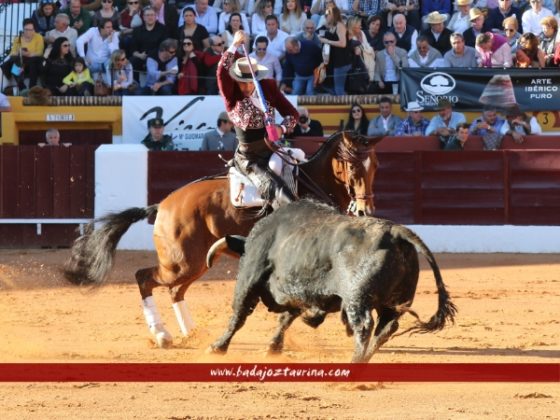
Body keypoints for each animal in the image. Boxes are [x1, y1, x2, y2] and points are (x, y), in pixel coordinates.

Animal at [64, 132, 380, 348]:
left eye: (375, 165)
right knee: (144, 278)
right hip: (180, 264)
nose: (364, 210)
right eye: (353, 167)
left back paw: (190, 332)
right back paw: (162, 334)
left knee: (175, 291)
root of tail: (162, 206)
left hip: (196, 263)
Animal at [206, 199, 456, 360]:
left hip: (357, 297)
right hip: (395, 302)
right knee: (386, 327)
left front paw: (218, 347)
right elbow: (286, 318)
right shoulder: (297, 293)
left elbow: (239, 315)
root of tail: (396, 232)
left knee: (364, 326)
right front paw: (273, 348)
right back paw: (365, 358)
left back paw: (355, 362)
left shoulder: (250, 278)